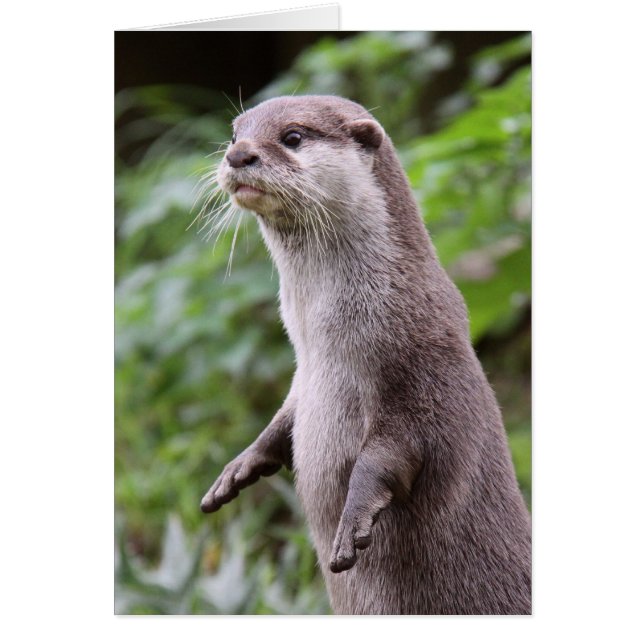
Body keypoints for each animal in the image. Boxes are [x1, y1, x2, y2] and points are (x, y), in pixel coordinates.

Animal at [200, 95, 531, 615]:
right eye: (235, 135)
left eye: (292, 137)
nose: (238, 156)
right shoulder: (304, 378)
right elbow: (284, 418)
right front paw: (241, 466)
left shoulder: (426, 365)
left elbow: (396, 452)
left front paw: (353, 519)